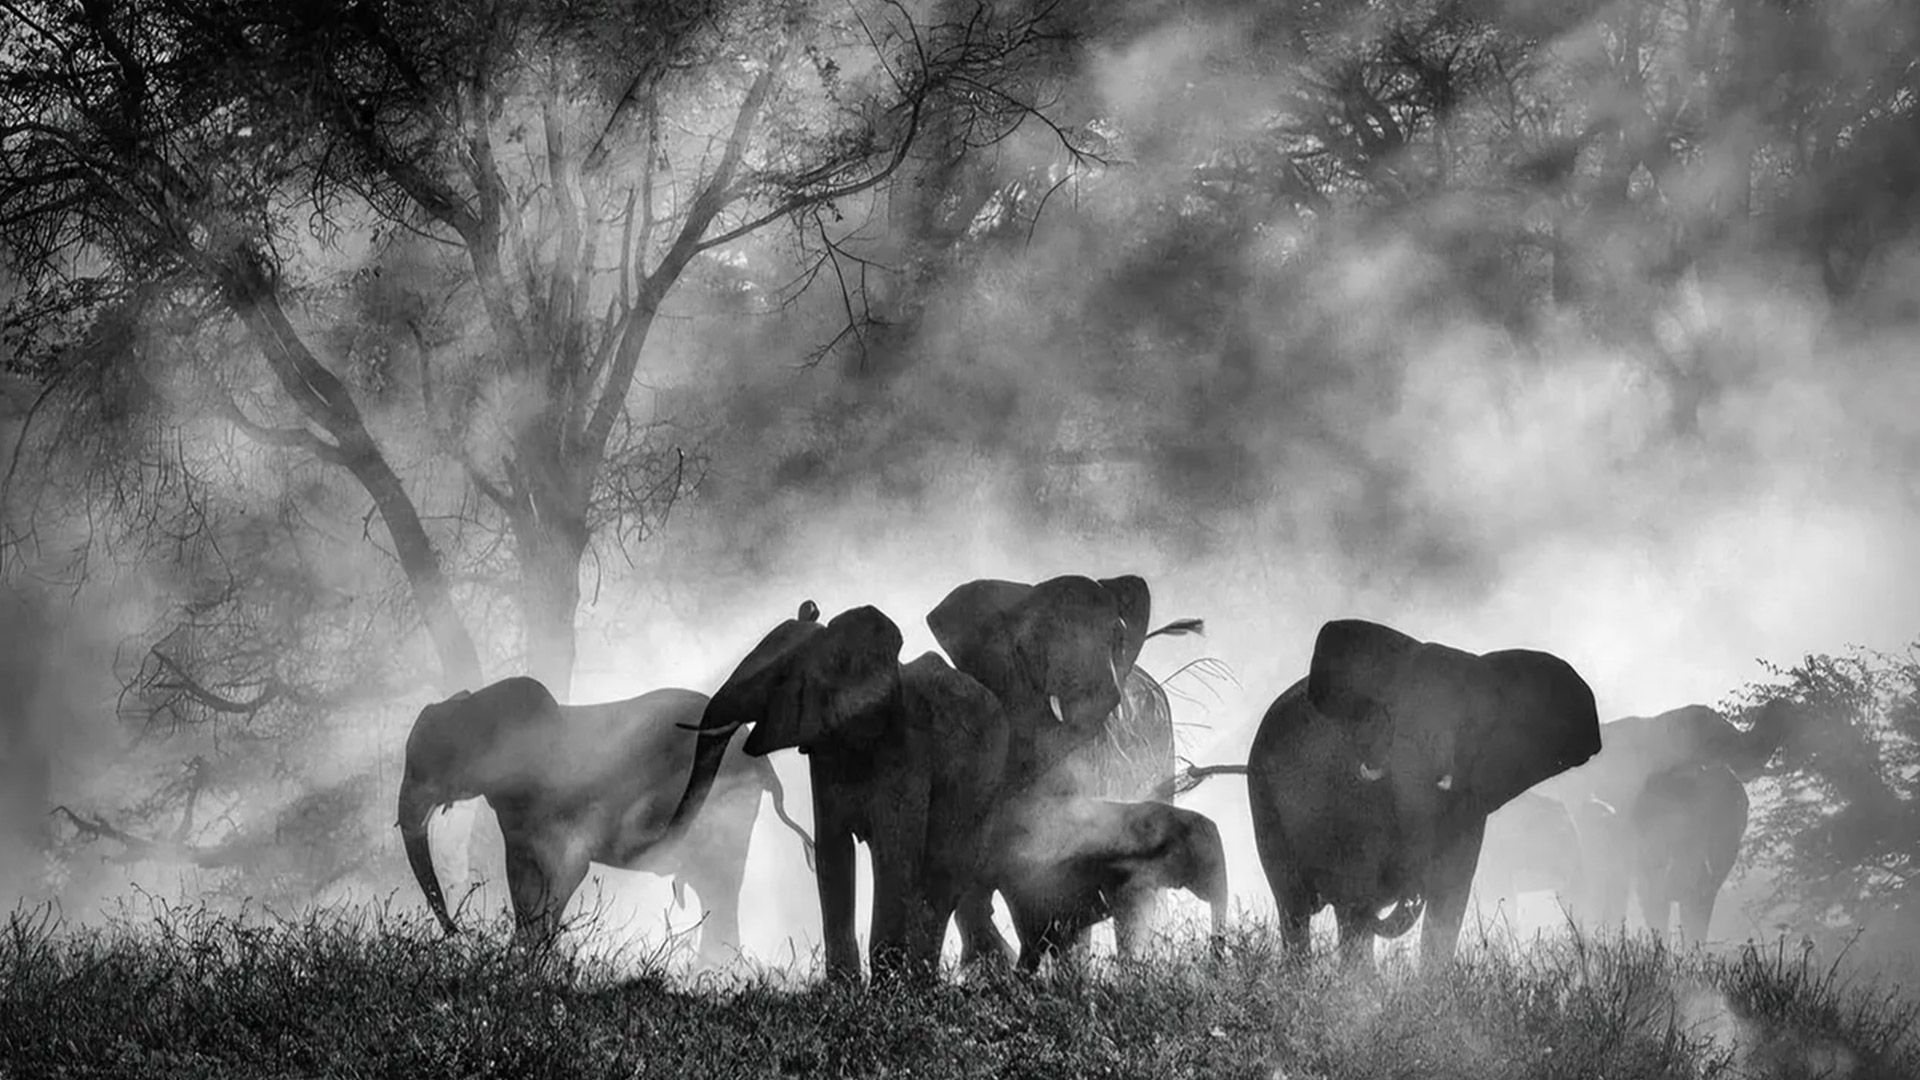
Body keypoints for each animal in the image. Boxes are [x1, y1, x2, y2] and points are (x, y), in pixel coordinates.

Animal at [396, 675, 812, 958]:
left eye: (436, 762)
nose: (457, 933)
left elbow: (568, 871)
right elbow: (521, 880)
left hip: (725, 805)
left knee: (719, 886)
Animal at [1238, 619, 1602, 967]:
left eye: (1468, 724)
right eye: (1392, 713)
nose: (1411, 892)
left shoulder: (1470, 805)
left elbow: (1449, 896)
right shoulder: (1347, 797)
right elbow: (1356, 894)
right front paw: (1363, 990)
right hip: (1263, 800)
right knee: (1294, 907)